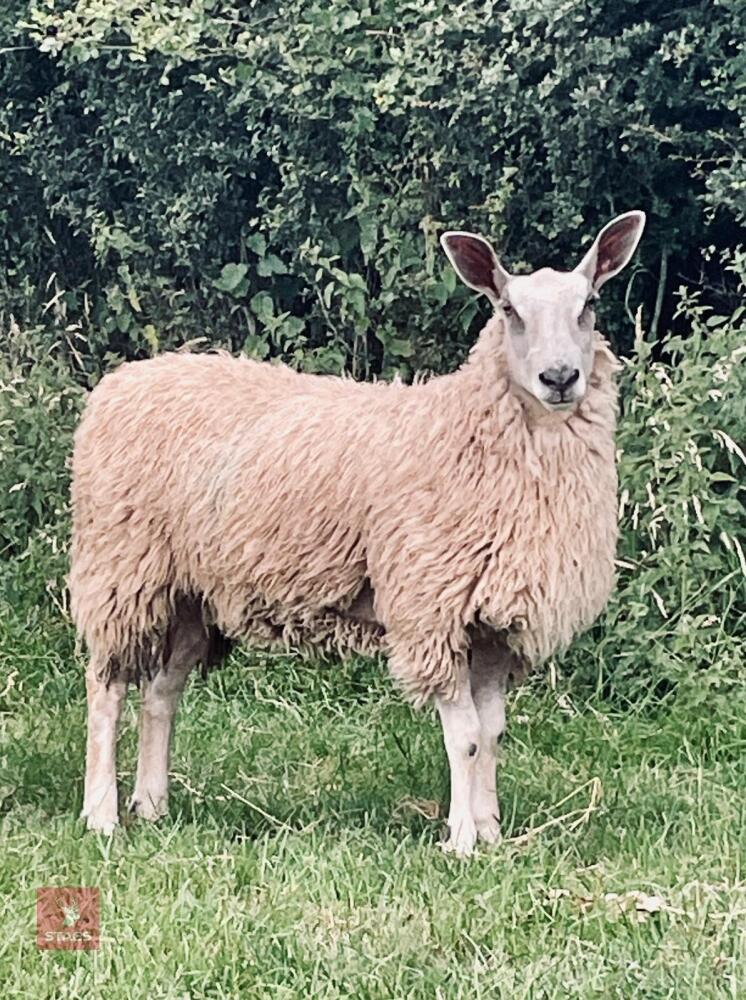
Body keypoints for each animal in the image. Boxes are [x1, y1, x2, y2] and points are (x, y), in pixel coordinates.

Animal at [72, 211, 645, 854]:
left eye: (589, 303)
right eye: (508, 310)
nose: (560, 377)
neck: (469, 431)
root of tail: (123, 380)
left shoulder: (492, 624)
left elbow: (494, 732)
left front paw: (491, 831)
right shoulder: (430, 612)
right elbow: (467, 737)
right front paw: (461, 840)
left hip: (195, 595)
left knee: (160, 694)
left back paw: (151, 805)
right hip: (122, 570)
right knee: (106, 689)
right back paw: (102, 814)